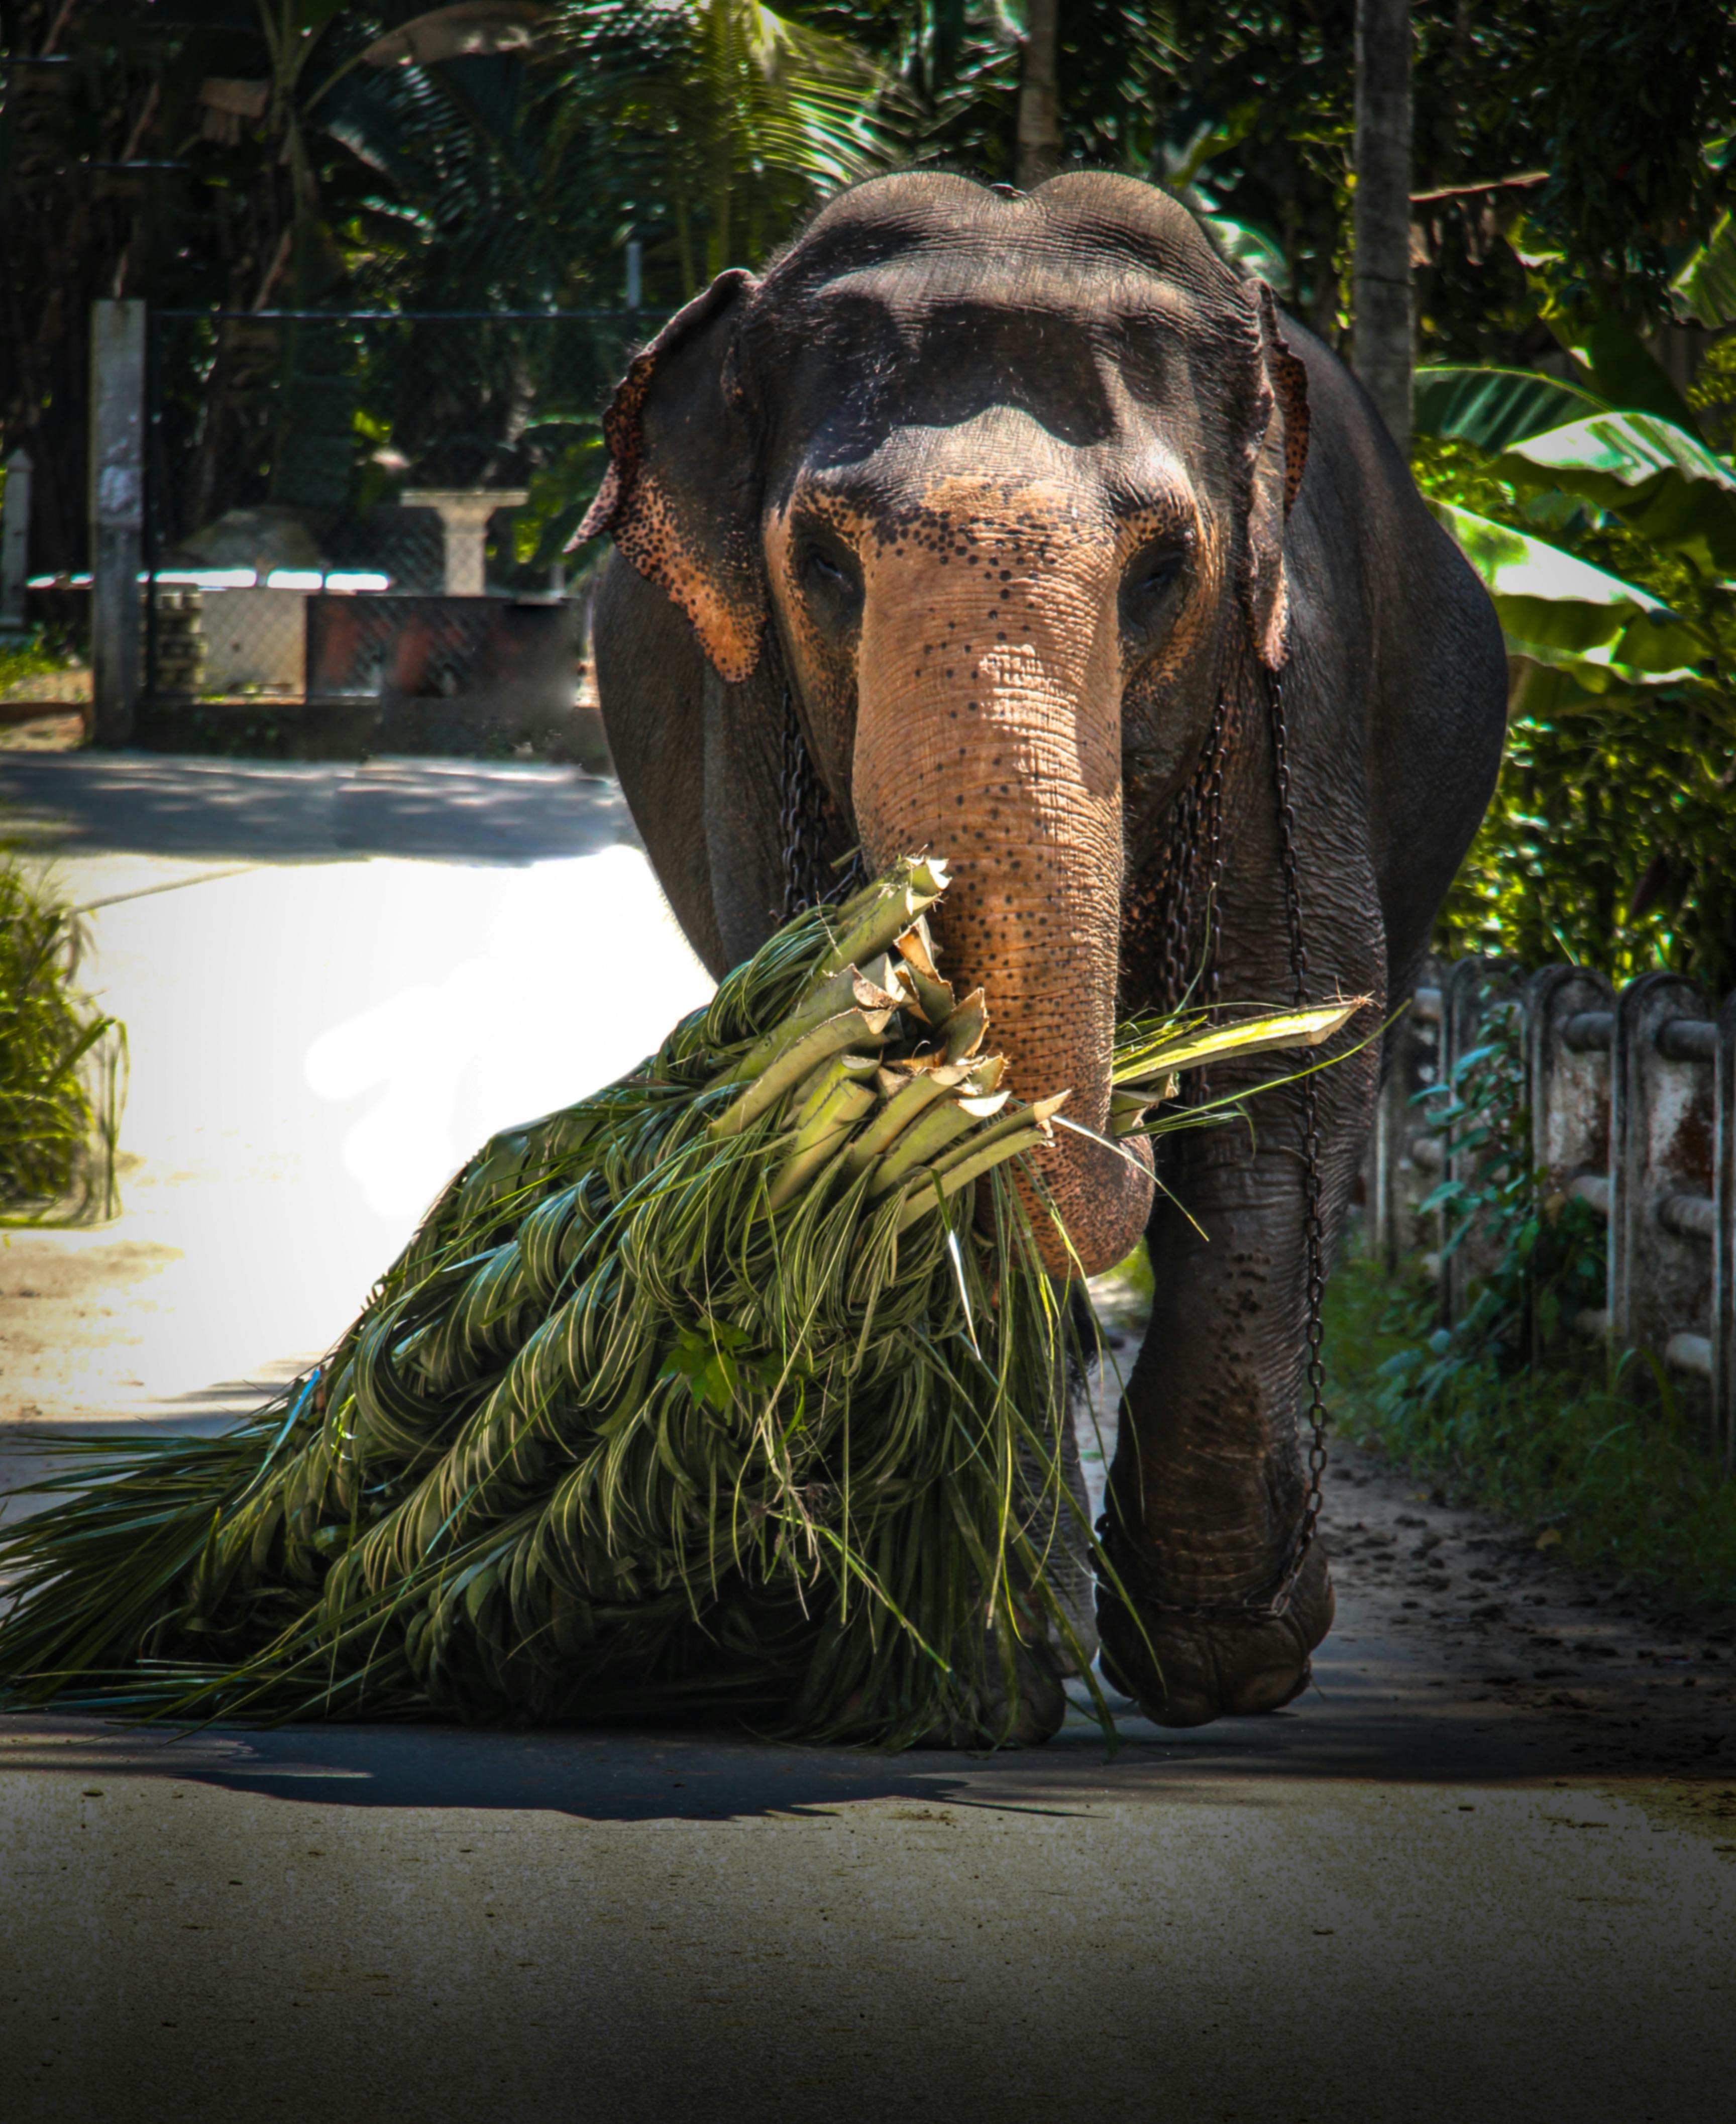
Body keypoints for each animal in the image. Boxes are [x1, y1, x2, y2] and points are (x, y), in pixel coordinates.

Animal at [578, 174, 1504, 1733]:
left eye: (1165, 567)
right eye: (819, 561)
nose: (1126, 1095)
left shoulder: (1287, 693)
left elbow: (1285, 1074)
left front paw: (1222, 1668)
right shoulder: (744, 724)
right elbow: (878, 1120)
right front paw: (977, 1675)